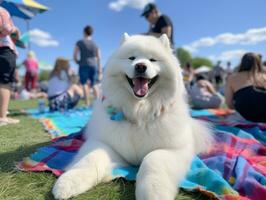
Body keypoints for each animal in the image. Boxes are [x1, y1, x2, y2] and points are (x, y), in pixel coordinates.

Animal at [53, 33, 213, 199]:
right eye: (131, 58)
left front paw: (153, 193)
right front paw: (68, 183)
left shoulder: (173, 150)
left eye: (152, 60)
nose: (140, 66)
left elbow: (152, 160)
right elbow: (90, 159)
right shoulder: (104, 143)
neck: (139, 113)